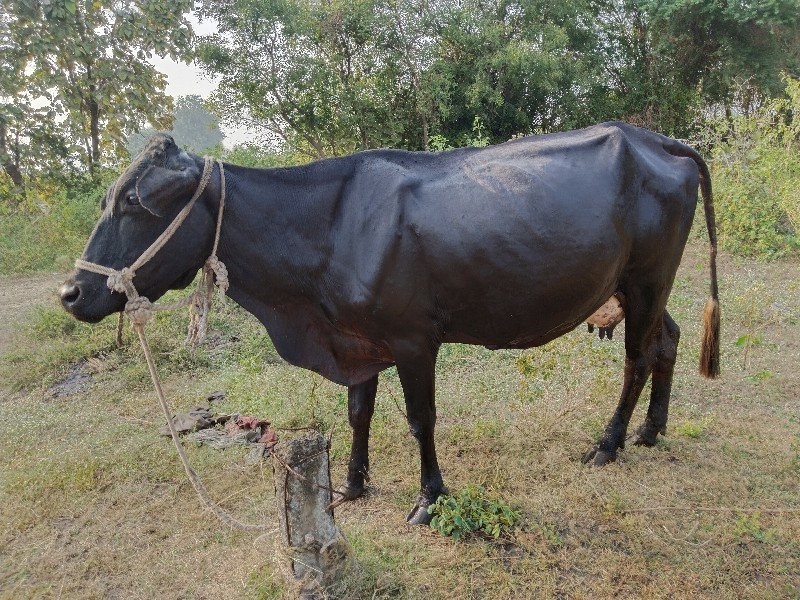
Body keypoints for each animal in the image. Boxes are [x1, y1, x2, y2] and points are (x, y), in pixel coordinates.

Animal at [61, 123, 720, 524]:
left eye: (134, 203)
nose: (71, 292)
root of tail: (654, 138)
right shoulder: (358, 338)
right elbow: (359, 412)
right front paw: (351, 486)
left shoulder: (412, 338)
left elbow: (419, 418)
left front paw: (428, 498)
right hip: (640, 287)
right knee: (667, 340)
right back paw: (651, 430)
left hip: (647, 278)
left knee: (637, 358)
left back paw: (608, 444)